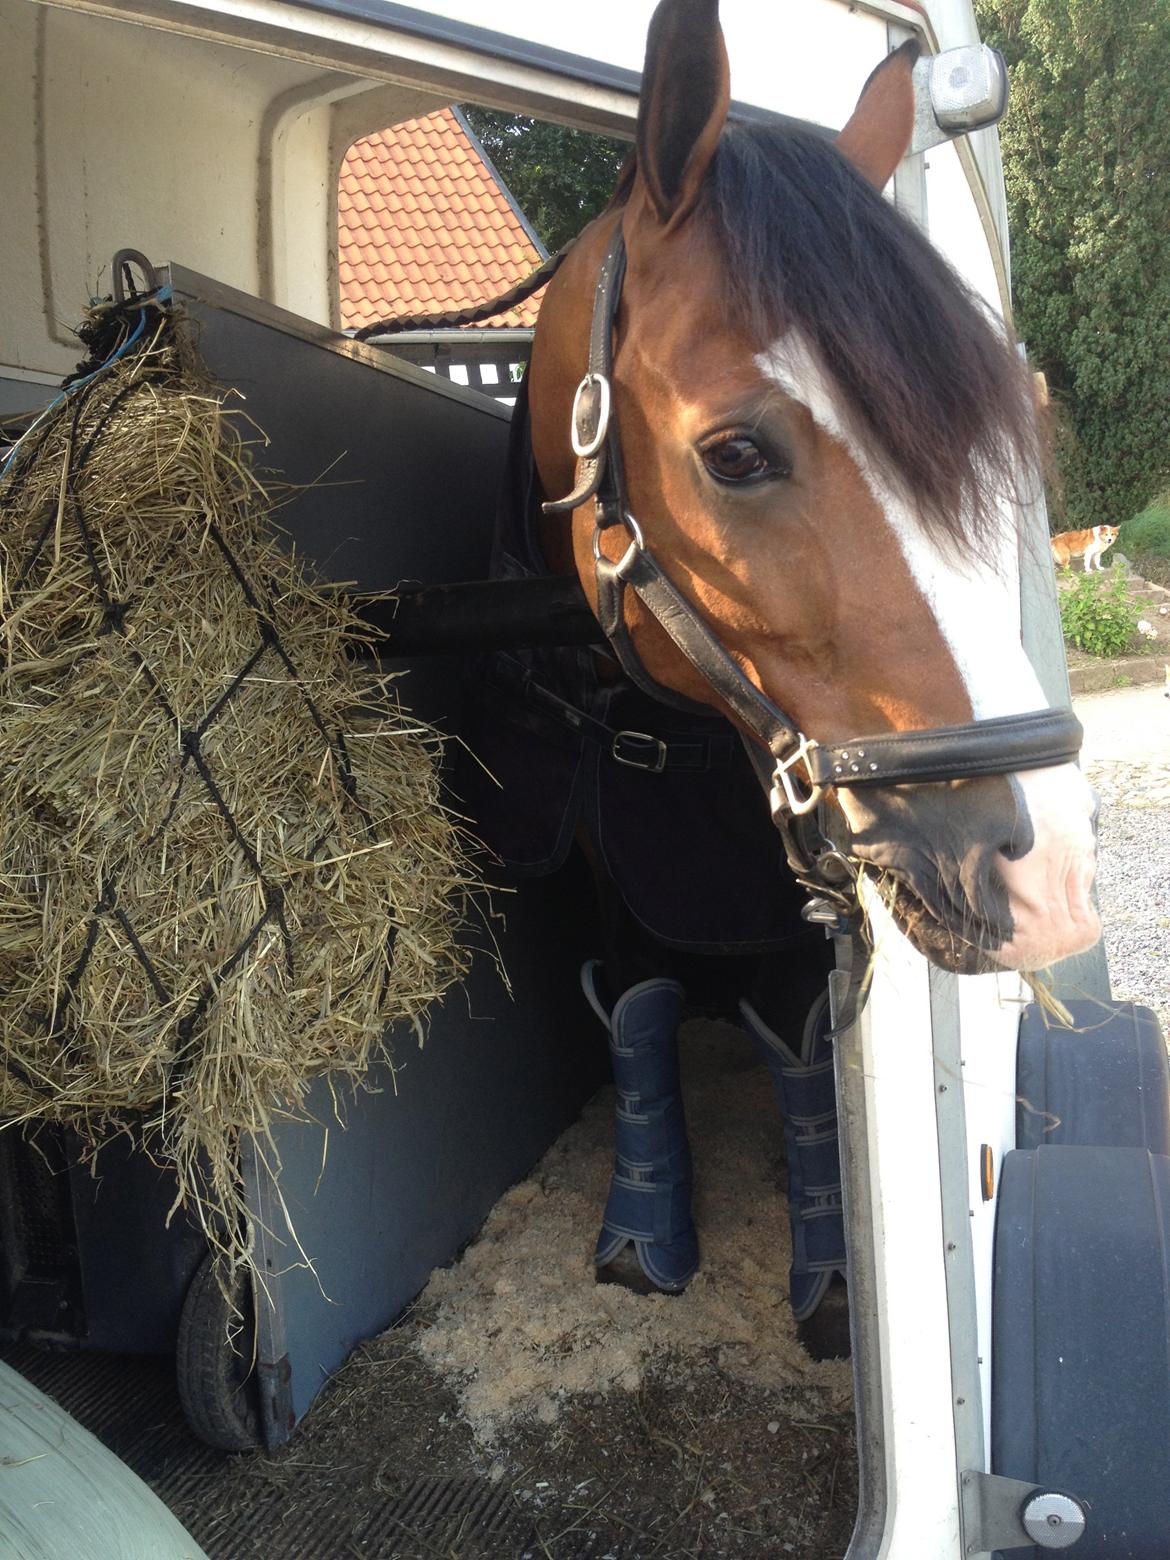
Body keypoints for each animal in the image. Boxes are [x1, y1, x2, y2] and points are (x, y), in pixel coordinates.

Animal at [464, 0, 1098, 1341]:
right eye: (735, 453)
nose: (1053, 878)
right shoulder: (621, 873)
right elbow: (639, 1008)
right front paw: (643, 1226)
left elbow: (800, 1038)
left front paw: (833, 1269)